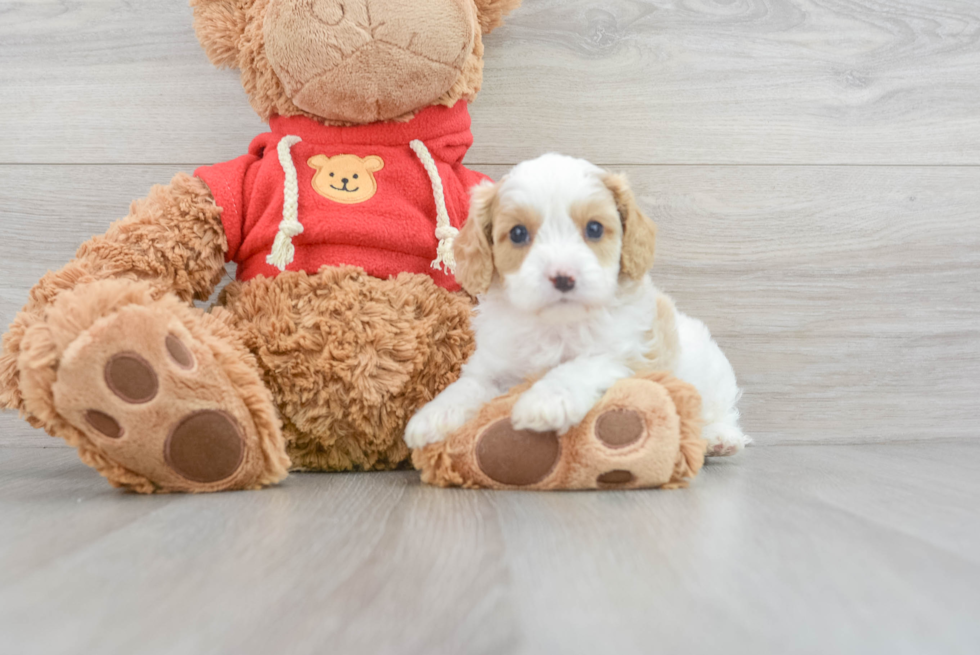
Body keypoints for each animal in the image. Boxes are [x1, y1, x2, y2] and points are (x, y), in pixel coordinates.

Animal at [406, 156, 752, 458]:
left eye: (595, 229)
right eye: (518, 233)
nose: (563, 277)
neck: (556, 324)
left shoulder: (628, 356)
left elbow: (581, 366)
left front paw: (545, 400)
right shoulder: (493, 364)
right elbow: (468, 386)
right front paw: (432, 416)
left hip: (712, 373)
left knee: (719, 409)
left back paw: (720, 438)